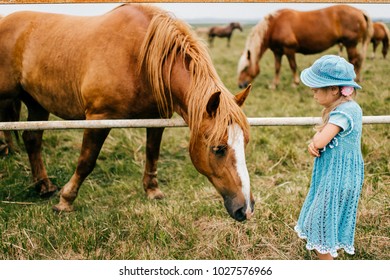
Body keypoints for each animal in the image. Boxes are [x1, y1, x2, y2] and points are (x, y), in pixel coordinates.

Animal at [0, 4, 254, 222]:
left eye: (244, 144)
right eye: (218, 149)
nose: (246, 209)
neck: (139, 56)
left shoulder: (157, 118)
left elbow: (152, 153)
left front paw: (152, 190)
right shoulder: (99, 118)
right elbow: (86, 161)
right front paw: (66, 201)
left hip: (37, 103)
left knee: (32, 139)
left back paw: (44, 185)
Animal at [236, 4, 374, 89]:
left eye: (246, 67)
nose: (240, 85)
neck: (275, 25)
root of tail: (359, 11)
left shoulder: (289, 50)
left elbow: (293, 66)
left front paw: (295, 83)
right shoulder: (277, 52)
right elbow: (277, 68)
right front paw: (274, 85)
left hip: (350, 44)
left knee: (354, 61)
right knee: (359, 60)